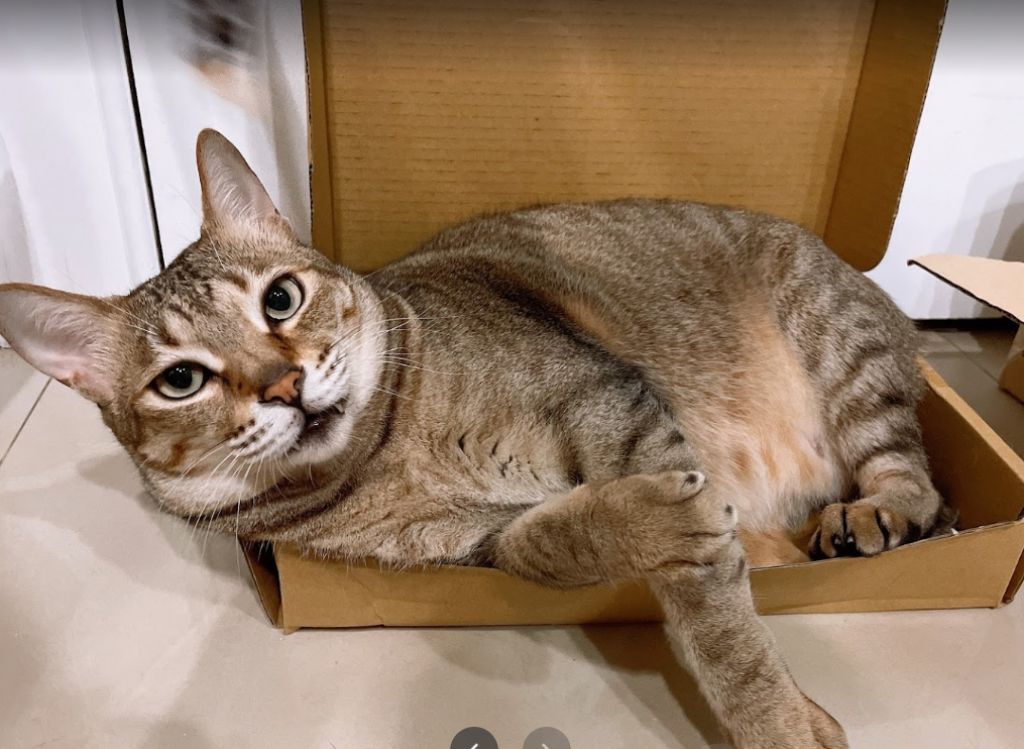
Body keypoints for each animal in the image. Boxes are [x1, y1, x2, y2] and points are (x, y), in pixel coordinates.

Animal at [0, 129, 949, 748]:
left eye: (280, 298)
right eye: (181, 380)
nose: (284, 385)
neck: (391, 456)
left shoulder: (610, 399)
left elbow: (717, 622)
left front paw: (779, 721)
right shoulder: (473, 544)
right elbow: (552, 543)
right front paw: (656, 523)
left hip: (845, 350)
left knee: (915, 476)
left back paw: (873, 515)